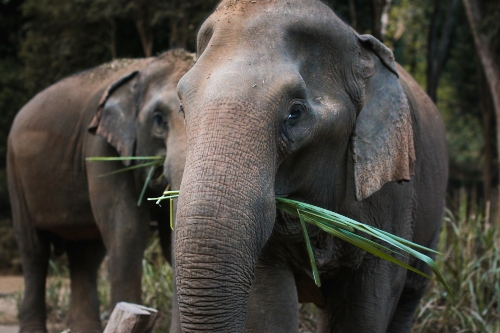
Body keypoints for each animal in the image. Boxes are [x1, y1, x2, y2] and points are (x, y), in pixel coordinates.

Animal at [6, 49, 193, 332]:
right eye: (158, 120)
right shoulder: (100, 147)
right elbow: (127, 230)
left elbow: (163, 238)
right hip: (16, 173)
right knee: (34, 251)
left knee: (85, 256)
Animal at [174, 0, 448, 332]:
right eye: (182, 108)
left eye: (295, 113)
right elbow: (268, 311)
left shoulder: (393, 203)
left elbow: (364, 313)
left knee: (408, 297)